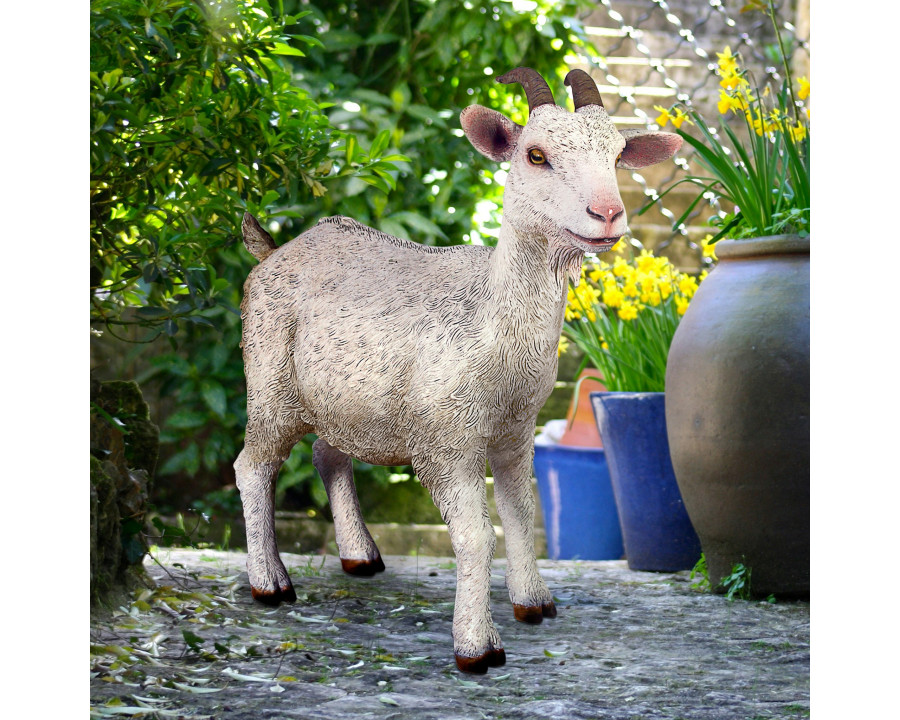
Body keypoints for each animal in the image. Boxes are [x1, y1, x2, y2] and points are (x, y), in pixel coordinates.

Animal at [236, 64, 680, 672]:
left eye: (617, 154)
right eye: (535, 155)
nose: (608, 214)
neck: (491, 319)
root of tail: (276, 250)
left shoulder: (515, 431)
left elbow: (521, 515)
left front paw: (534, 603)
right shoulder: (445, 439)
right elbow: (476, 536)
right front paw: (476, 647)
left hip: (346, 398)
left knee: (330, 456)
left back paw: (361, 557)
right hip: (271, 381)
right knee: (252, 467)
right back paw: (270, 584)